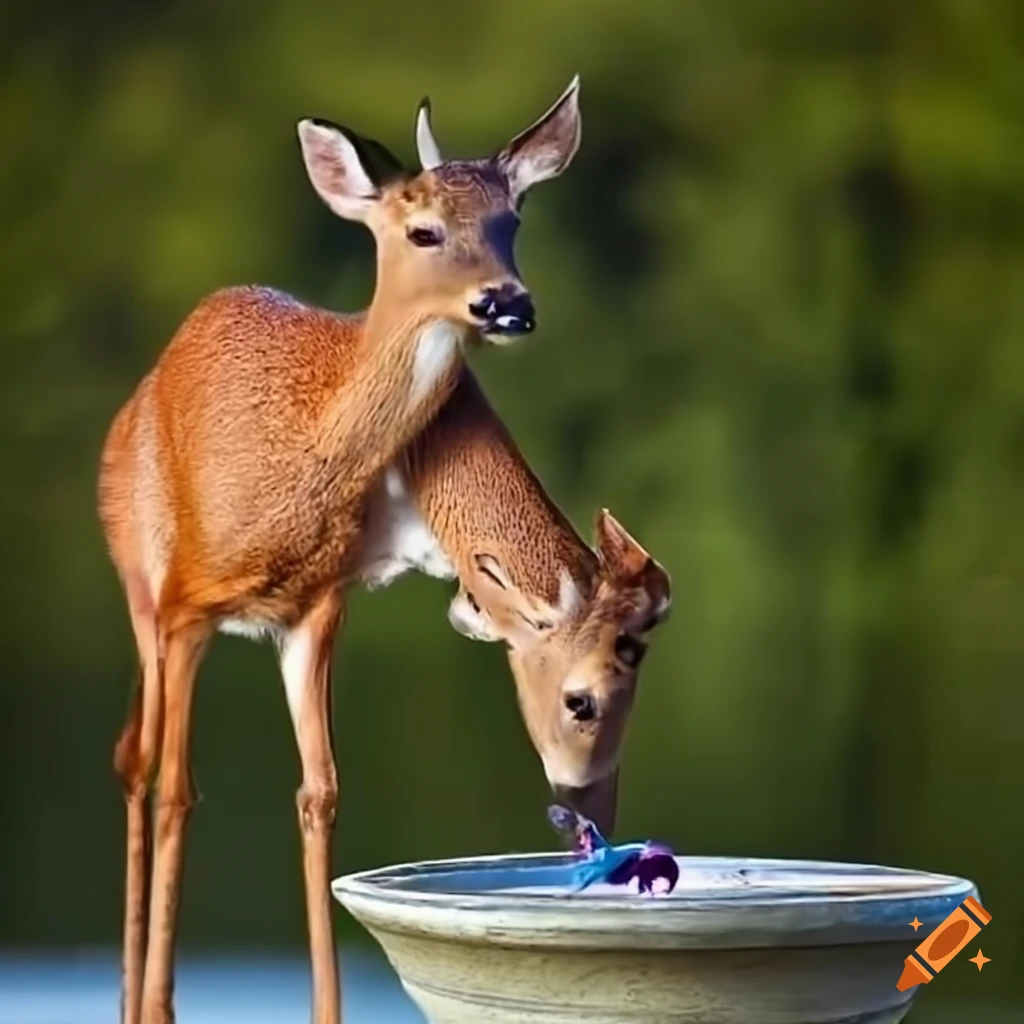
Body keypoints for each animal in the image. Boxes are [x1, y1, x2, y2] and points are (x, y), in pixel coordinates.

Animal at [97, 80, 581, 1024]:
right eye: (422, 229)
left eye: (512, 219)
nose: (509, 303)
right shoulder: (187, 605)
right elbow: (180, 789)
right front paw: (160, 1004)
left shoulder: (315, 605)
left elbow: (319, 793)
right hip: (140, 584)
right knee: (140, 764)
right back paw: (136, 999)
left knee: (136, 751)